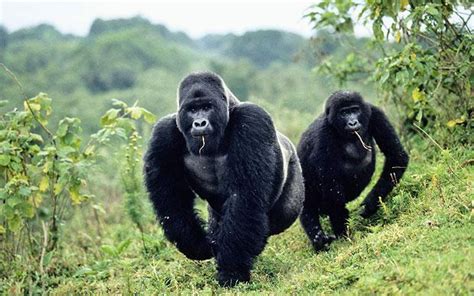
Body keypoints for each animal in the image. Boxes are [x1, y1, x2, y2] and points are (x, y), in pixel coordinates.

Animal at [143, 70, 304, 286]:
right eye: (192, 110)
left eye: (206, 107)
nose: (199, 123)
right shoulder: (164, 132)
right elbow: (172, 199)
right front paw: (196, 244)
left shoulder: (252, 120)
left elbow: (244, 196)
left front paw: (232, 272)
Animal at [298, 91, 410, 251]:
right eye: (344, 113)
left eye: (355, 110)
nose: (352, 123)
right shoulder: (323, 134)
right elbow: (333, 194)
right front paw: (344, 235)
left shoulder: (375, 113)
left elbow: (396, 156)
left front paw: (369, 205)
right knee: (307, 202)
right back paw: (318, 238)